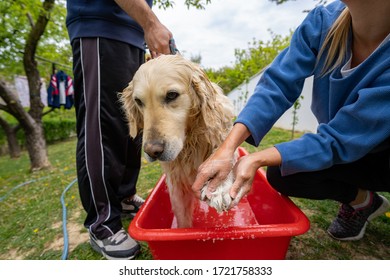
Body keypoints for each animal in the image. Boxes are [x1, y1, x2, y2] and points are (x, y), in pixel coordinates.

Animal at [121, 55, 238, 229]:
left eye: (171, 95)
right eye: (138, 101)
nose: (152, 151)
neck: (190, 138)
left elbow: (222, 154)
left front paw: (219, 187)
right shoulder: (176, 185)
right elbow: (182, 219)